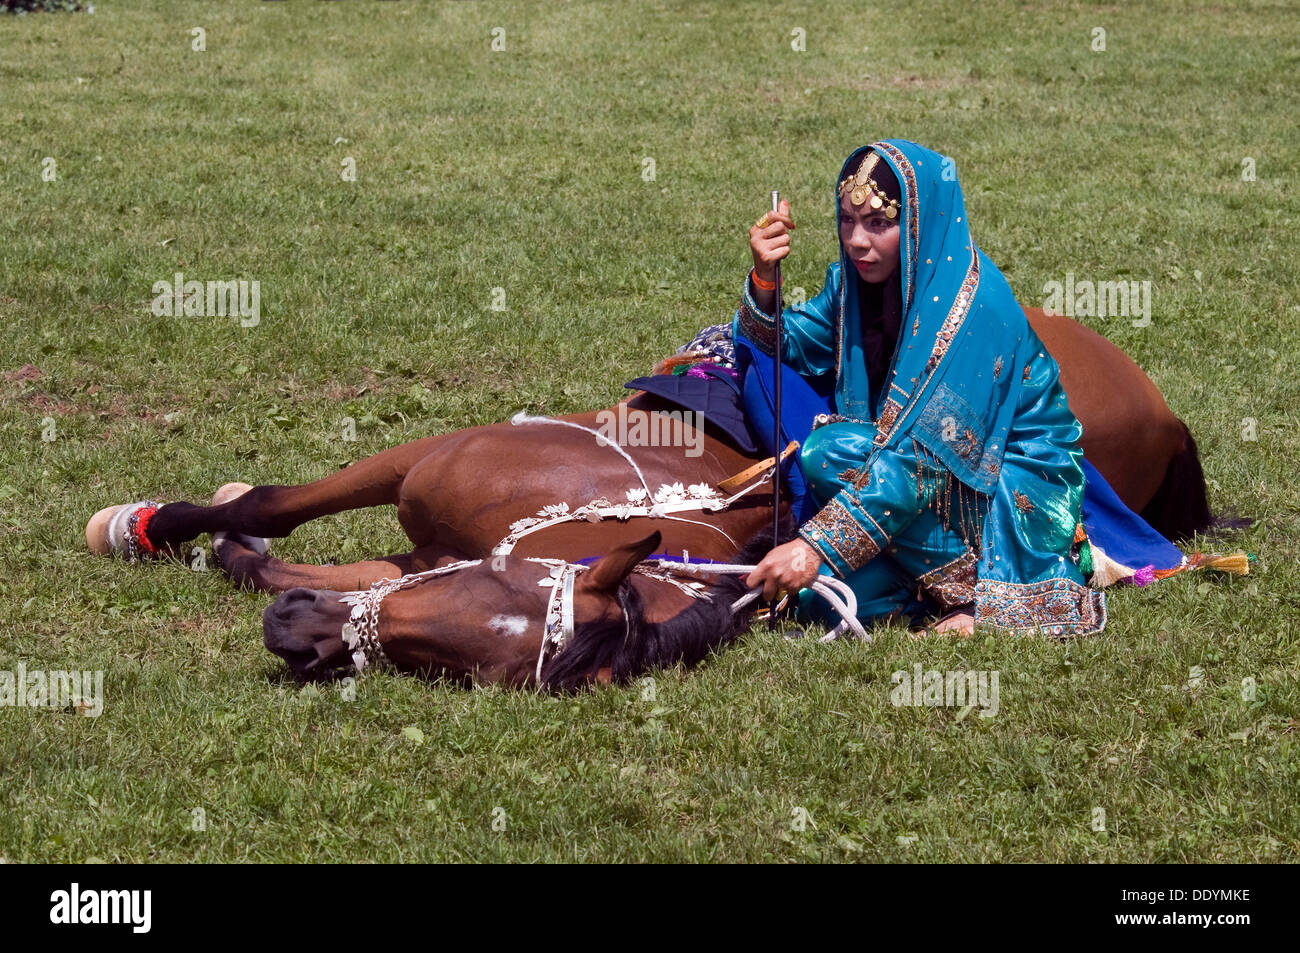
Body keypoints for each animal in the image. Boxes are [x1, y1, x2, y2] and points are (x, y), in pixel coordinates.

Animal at [89, 308, 1216, 686]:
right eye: (493, 597)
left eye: (478, 659)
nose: (297, 641)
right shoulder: (423, 470)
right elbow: (275, 509)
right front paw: (146, 526)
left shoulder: (419, 538)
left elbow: (278, 541)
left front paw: (241, 562)